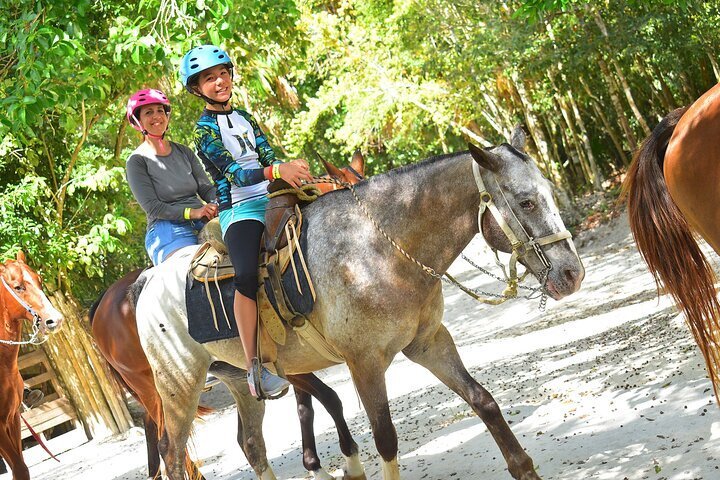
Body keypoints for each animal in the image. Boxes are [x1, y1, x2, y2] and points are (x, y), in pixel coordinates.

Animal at [0, 253, 62, 478]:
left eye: (39, 281)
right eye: (18, 287)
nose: (55, 320)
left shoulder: (12, 418)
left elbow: (20, 469)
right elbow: (18, 467)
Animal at [135, 128, 584, 480]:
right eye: (526, 202)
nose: (572, 274)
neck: (378, 247)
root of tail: (147, 284)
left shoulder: (428, 342)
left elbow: (483, 400)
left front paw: (524, 468)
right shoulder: (363, 362)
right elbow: (385, 438)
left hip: (236, 380)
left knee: (251, 444)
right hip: (179, 387)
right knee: (173, 455)